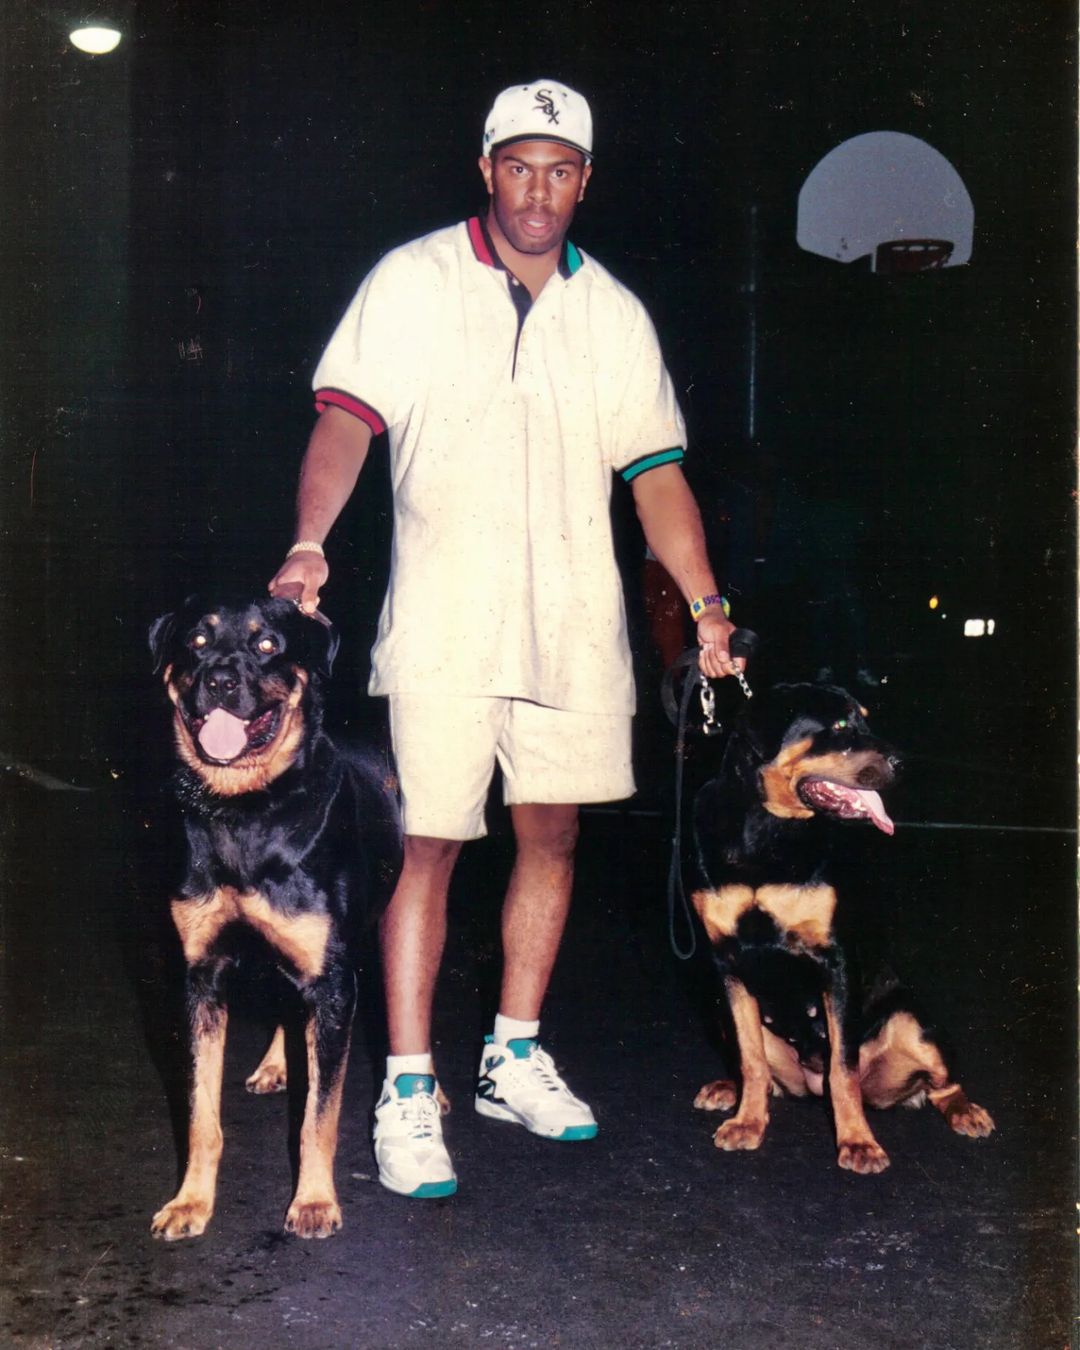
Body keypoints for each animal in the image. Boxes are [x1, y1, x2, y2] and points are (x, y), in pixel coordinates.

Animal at [146, 594, 402, 1239]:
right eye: (197, 641)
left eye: (266, 645)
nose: (219, 679)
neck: (246, 808)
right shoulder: (200, 977)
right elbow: (200, 1114)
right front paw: (190, 1202)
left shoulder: (332, 980)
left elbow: (317, 1116)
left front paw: (313, 1202)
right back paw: (274, 1065)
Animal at [688, 682, 994, 1173]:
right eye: (839, 725)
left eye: (865, 719)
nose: (905, 763)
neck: (766, 831)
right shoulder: (727, 963)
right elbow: (750, 1056)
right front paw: (748, 1122)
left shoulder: (837, 962)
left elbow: (842, 1070)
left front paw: (857, 1143)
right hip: (715, 1008)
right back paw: (727, 1089)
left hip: (912, 1021)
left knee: (940, 1083)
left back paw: (965, 1110)